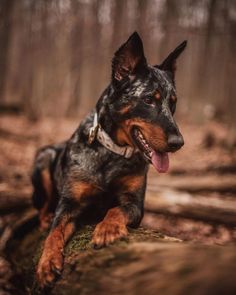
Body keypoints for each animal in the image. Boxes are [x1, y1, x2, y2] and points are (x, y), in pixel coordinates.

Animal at [31, 31, 186, 286]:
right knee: (42, 207)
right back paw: (44, 219)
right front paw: (47, 262)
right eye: (148, 100)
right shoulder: (69, 204)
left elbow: (116, 209)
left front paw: (107, 229)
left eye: (172, 103)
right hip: (43, 158)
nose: (178, 142)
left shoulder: (135, 203)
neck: (113, 152)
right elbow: (55, 231)